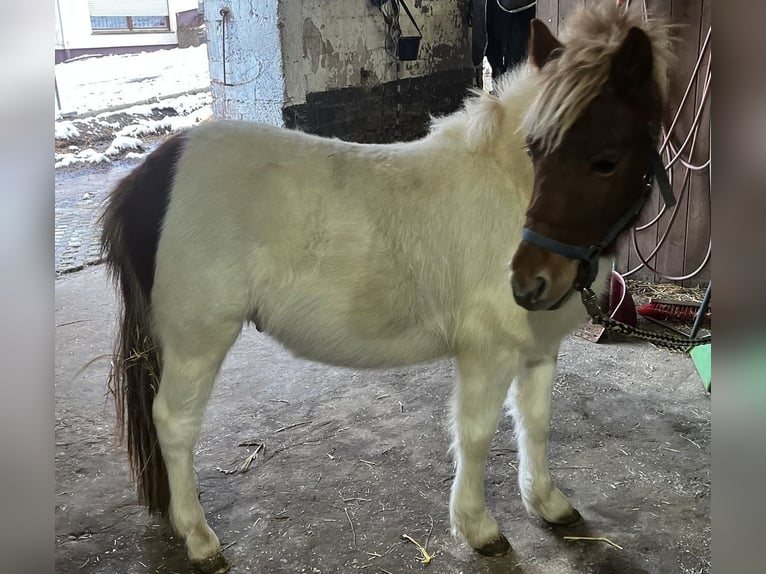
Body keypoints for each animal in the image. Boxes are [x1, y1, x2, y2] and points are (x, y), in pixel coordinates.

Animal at [102, 3, 672, 572]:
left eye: (605, 160)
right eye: (535, 150)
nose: (529, 283)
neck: (507, 191)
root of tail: (152, 173)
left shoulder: (538, 348)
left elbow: (535, 423)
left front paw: (549, 505)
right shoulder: (487, 353)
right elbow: (476, 434)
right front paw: (479, 528)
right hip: (198, 340)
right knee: (174, 422)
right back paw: (199, 539)